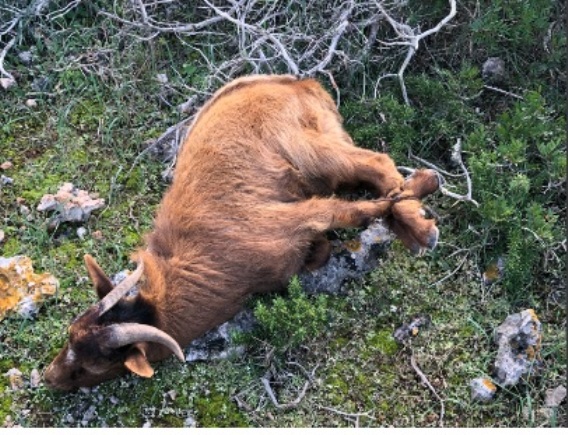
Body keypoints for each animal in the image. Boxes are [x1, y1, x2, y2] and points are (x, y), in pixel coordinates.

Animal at [44, 75, 440, 392]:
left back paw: (420, 222)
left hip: (311, 149)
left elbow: (349, 212)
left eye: (91, 367)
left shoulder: (289, 221)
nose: (48, 378)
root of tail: (298, 83)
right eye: (70, 338)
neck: (206, 262)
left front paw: (406, 205)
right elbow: (320, 250)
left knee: (377, 163)